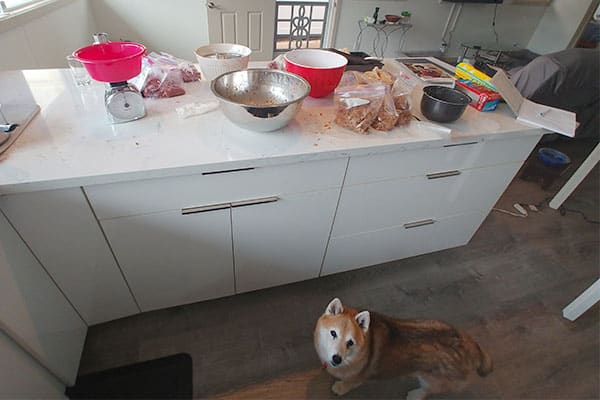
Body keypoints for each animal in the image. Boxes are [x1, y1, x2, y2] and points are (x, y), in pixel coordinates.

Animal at [314, 298, 492, 398]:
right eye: (333, 333)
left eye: (350, 342)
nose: (337, 358)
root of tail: (469, 343)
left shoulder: (359, 377)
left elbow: (349, 383)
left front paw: (339, 387)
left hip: (433, 379)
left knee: (429, 390)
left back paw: (415, 395)